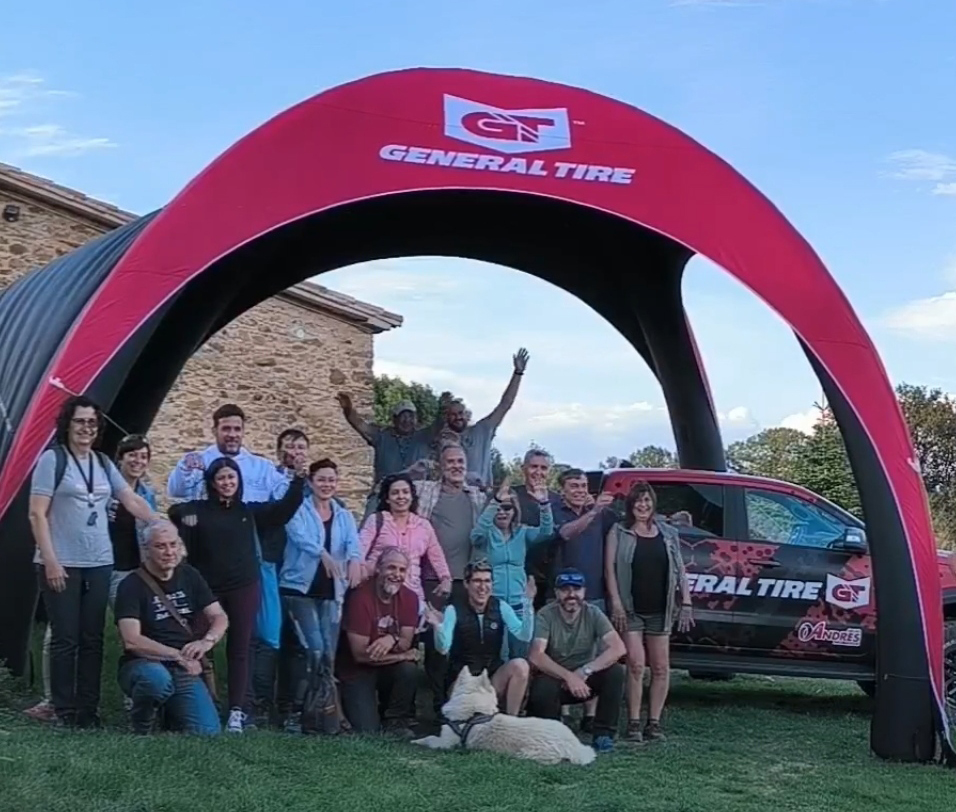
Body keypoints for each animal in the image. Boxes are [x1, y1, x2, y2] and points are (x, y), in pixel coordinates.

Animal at [411, 667, 596, 766]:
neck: (474, 709)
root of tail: (574, 746)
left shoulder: (445, 744)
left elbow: (429, 738)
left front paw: (417, 741)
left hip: (528, 753)